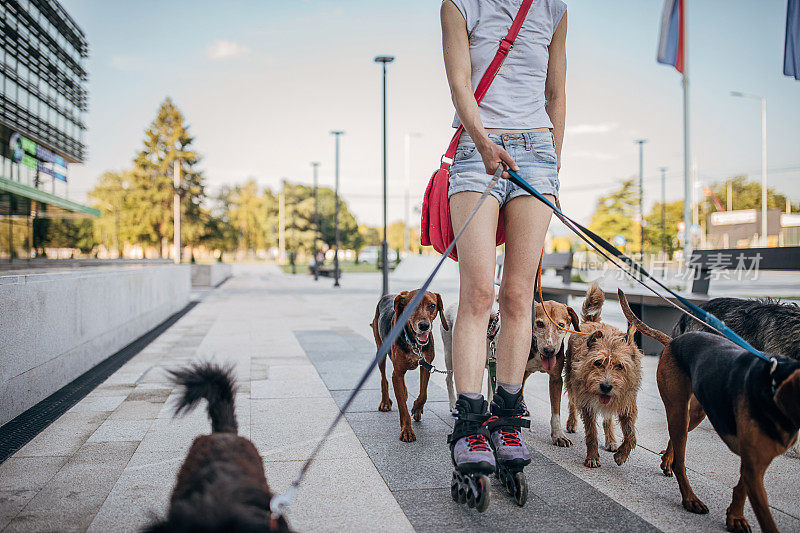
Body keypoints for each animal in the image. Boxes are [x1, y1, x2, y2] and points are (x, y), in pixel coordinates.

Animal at [370, 288, 446, 442]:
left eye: (432, 306)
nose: (424, 326)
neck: (414, 343)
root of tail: (387, 295)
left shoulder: (426, 366)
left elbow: (423, 394)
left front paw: (417, 408)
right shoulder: (397, 373)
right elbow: (402, 407)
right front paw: (406, 431)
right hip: (380, 352)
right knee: (384, 379)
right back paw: (385, 402)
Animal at [564, 286, 644, 466]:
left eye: (620, 366)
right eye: (598, 362)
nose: (606, 387)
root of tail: (591, 320)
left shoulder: (627, 402)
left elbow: (631, 435)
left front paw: (622, 454)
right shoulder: (587, 402)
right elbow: (591, 433)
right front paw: (592, 457)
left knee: (608, 419)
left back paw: (611, 440)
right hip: (571, 381)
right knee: (572, 402)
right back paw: (571, 423)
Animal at [620, 290, 800, 532]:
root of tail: (673, 342)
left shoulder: (755, 461)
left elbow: (742, 488)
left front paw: (735, 517)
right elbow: (764, 515)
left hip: (694, 413)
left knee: (676, 441)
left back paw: (668, 462)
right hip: (678, 409)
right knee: (680, 460)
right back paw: (690, 498)